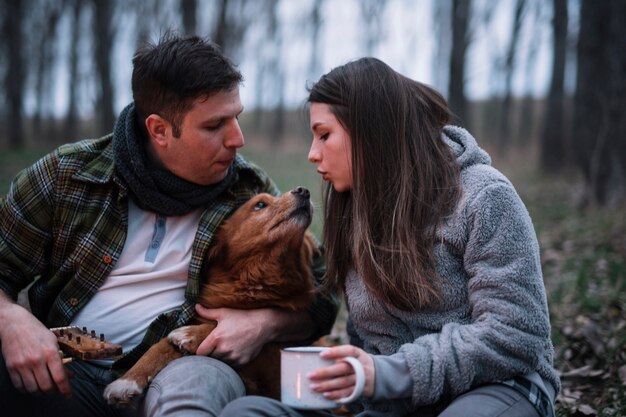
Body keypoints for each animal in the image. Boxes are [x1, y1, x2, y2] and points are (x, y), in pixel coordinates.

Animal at [104, 187, 316, 404]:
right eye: (260, 204)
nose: (303, 190)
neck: (255, 284)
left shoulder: (273, 359)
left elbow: (223, 325)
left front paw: (190, 334)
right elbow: (159, 345)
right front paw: (127, 380)